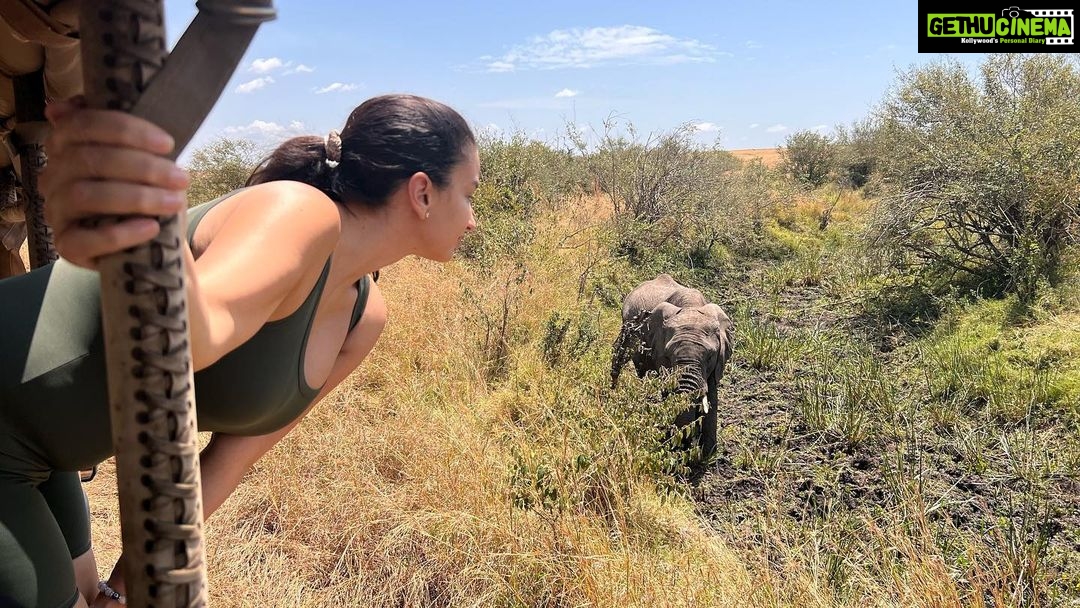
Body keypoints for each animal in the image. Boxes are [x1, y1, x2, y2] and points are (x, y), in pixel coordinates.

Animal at [610, 274, 734, 459]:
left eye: (710, 356)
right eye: (668, 355)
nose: (688, 447)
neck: (691, 307)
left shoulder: (717, 364)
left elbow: (712, 395)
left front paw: (708, 454)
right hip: (627, 326)